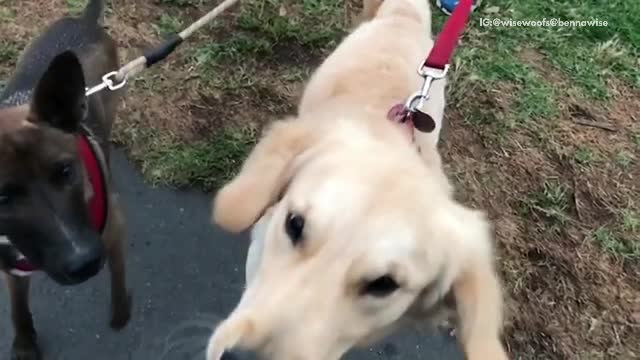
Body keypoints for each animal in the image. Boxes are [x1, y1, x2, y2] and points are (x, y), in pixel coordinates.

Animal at [0, 1, 131, 358]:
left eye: (65, 172)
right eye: (2, 198)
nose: (83, 263)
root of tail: (83, 20)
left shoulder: (112, 229)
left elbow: (119, 276)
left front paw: (121, 313)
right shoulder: (11, 268)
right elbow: (18, 308)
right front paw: (25, 343)